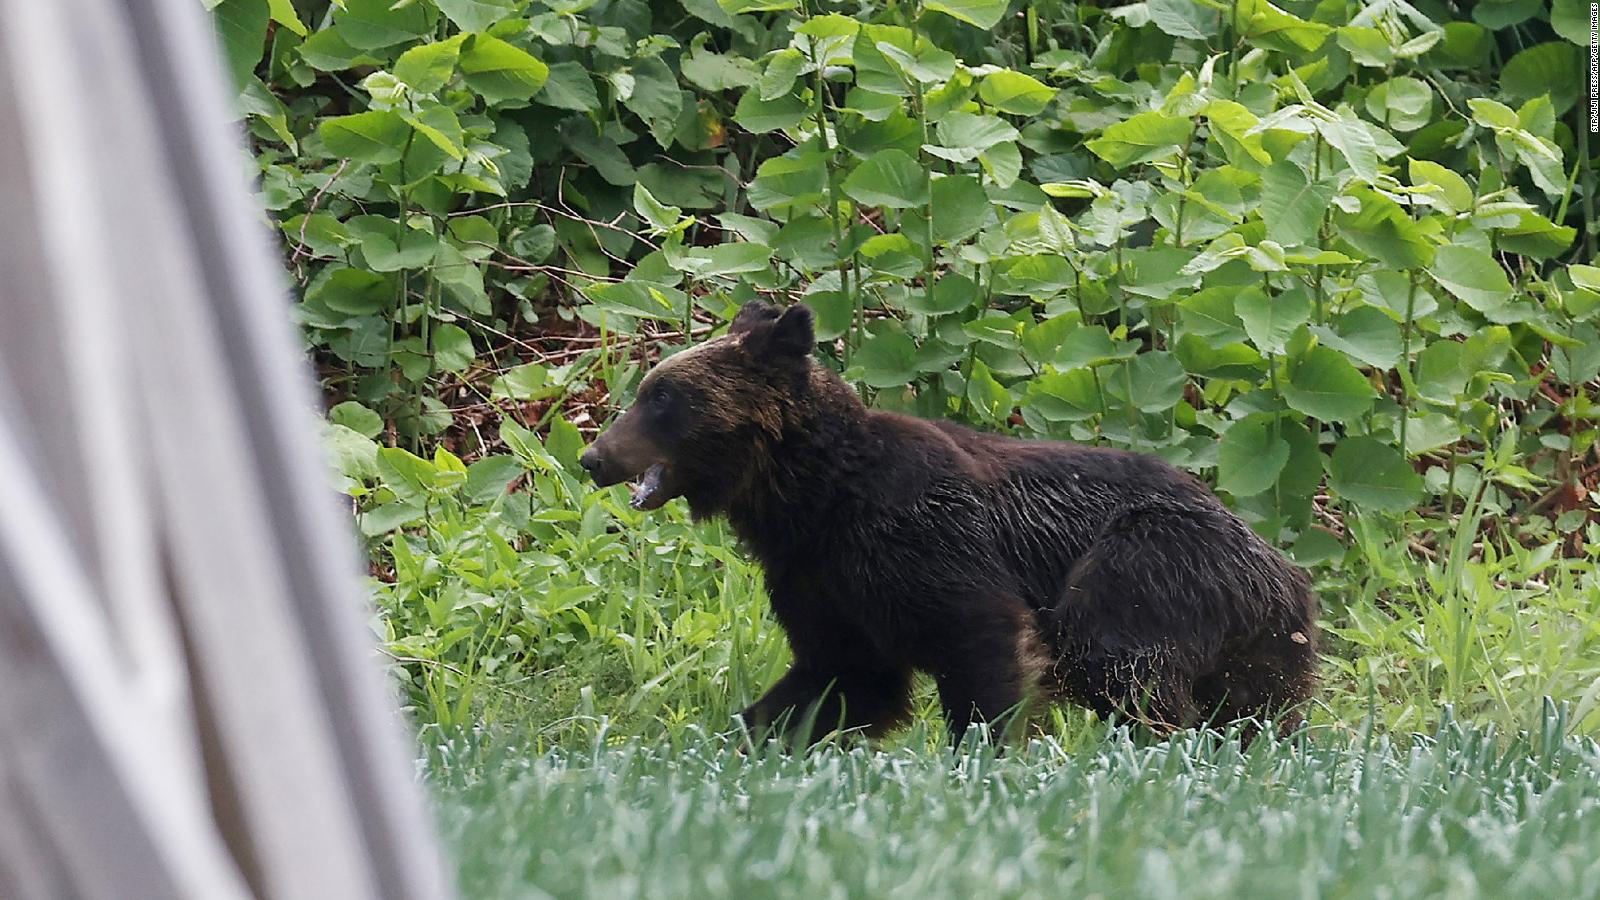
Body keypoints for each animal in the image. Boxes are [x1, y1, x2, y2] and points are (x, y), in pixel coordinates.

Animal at [582, 301, 1318, 743]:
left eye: (662, 397)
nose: (593, 456)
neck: (810, 498)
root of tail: (1284, 565)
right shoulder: (820, 580)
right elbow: (840, 677)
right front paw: (748, 736)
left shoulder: (924, 539)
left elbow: (980, 640)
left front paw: (981, 752)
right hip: (1261, 643)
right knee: (1258, 708)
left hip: (1152, 560)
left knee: (1116, 656)